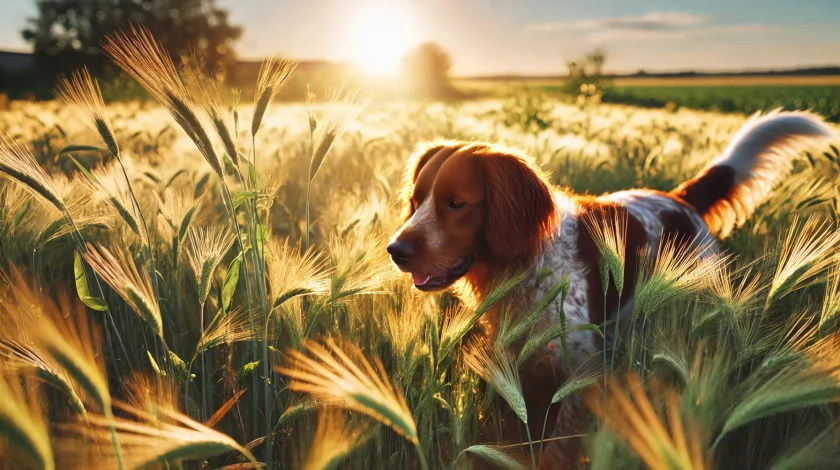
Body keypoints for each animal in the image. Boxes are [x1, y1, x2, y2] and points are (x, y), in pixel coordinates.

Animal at [386, 112, 832, 468]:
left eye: (456, 203)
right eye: (416, 200)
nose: (395, 250)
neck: (524, 267)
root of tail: (680, 199)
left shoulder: (580, 375)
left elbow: (555, 450)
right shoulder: (515, 369)